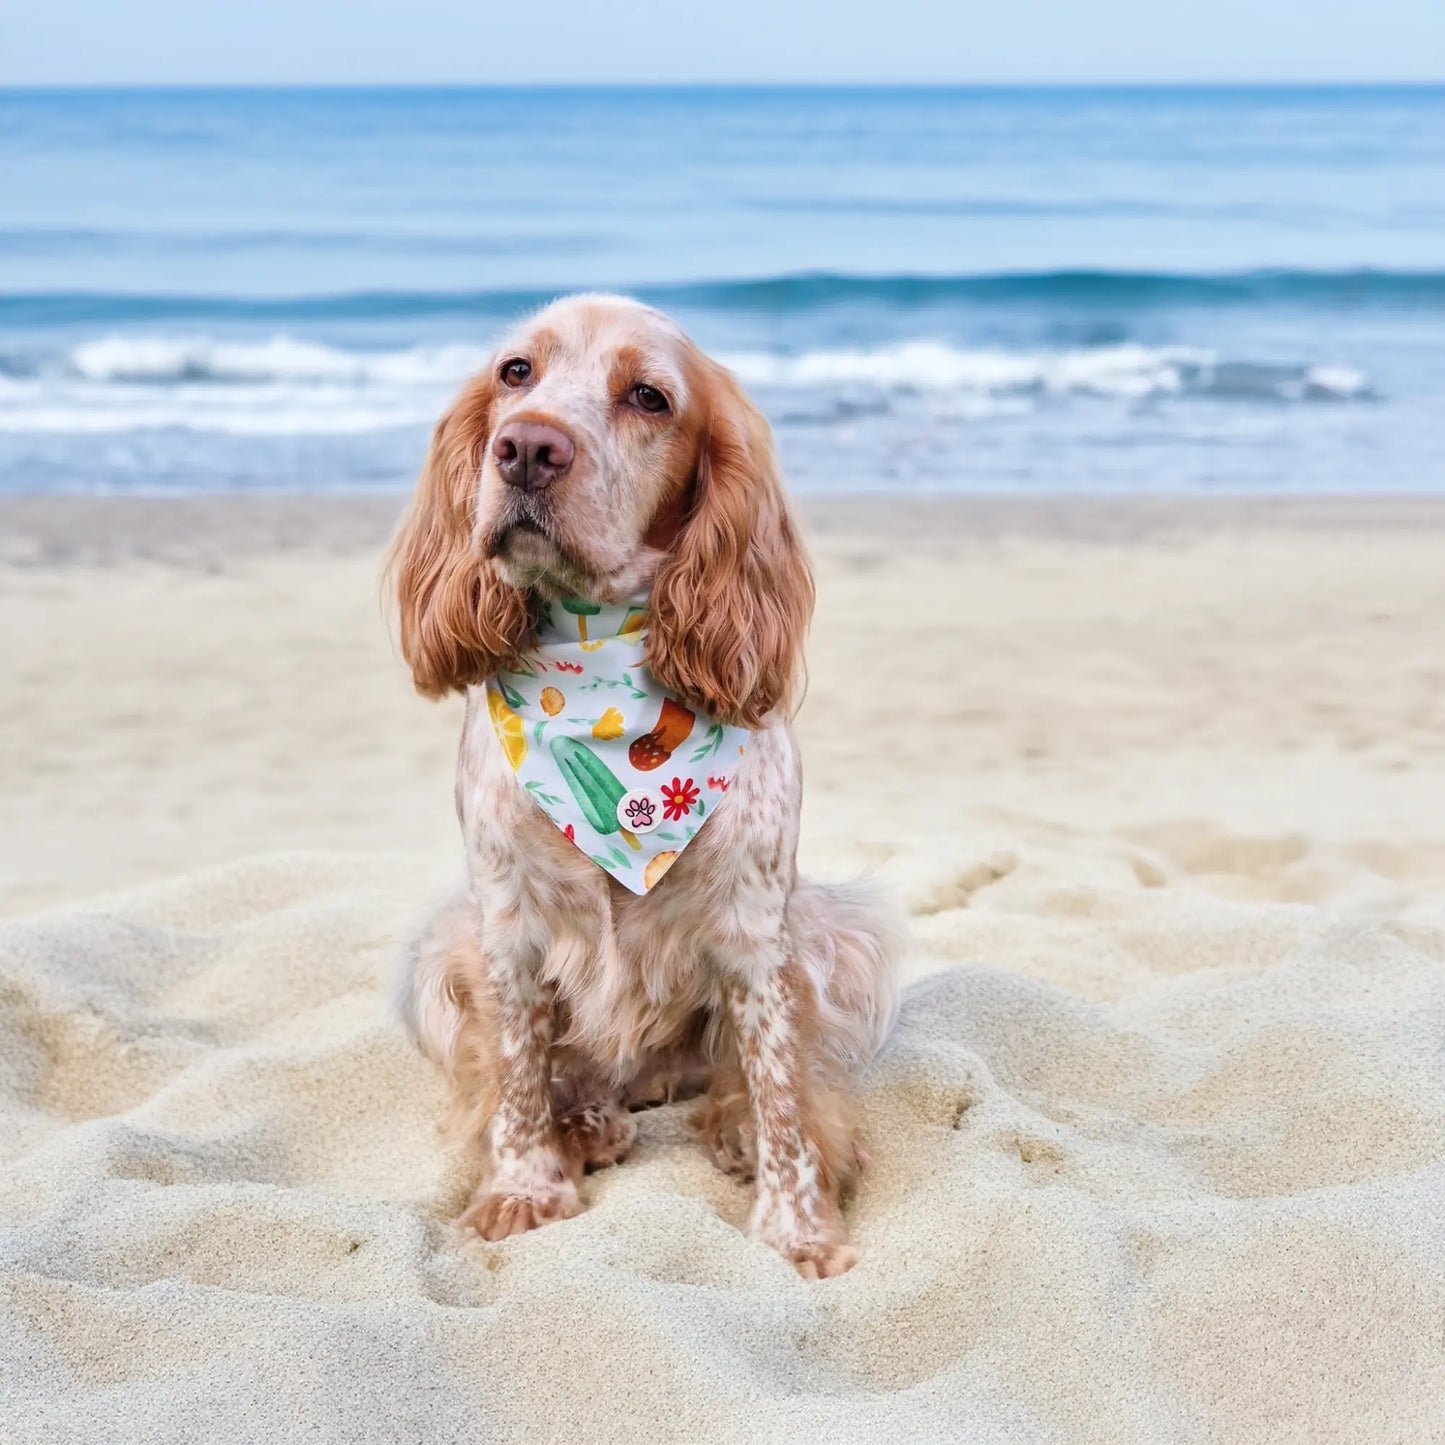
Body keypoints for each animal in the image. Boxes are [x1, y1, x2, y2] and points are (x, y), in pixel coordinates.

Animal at [390, 296, 895, 1277]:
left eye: (649, 397)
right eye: (516, 372)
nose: (526, 446)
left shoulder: (758, 933)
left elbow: (781, 1087)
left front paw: (798, 1232)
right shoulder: (502, 924)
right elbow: (515, 1071)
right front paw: (525, 1189)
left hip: (838, 935)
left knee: (744, 1081)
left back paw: (730, 1125)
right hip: (440, 953)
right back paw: (585, 1121)